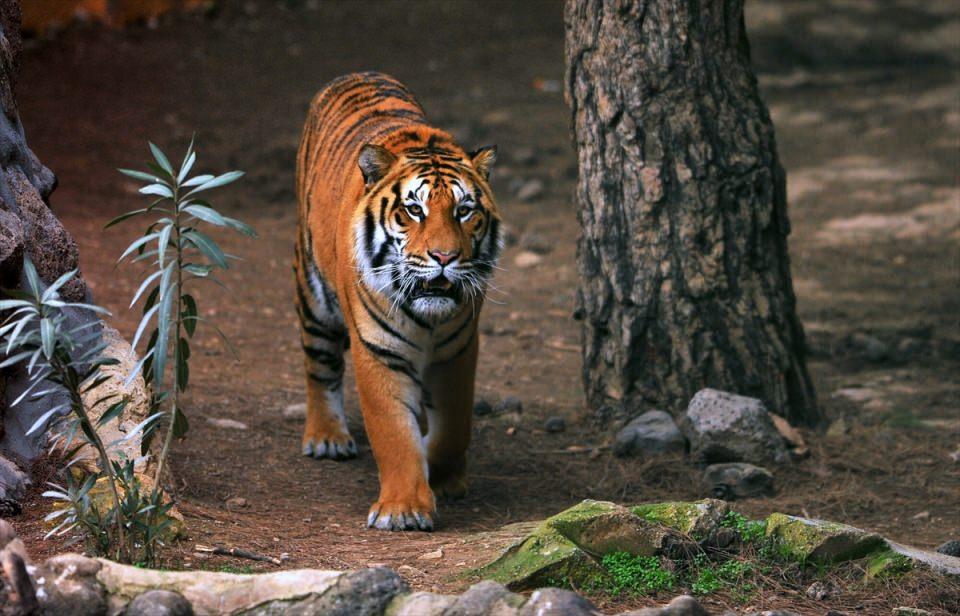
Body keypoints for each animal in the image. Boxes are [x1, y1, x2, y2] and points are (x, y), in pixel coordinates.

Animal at [292, 72, 502, 532]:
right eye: (414, 210)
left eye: (464, 211)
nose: (444, 257)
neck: (429, 320)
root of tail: (356, 73)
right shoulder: (378, 350)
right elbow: (393, 433)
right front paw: (403, 509)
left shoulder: (458, 349)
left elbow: (454, 426)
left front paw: (443, 476)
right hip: (312, 291)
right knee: (319, 364)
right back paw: (326, 437)